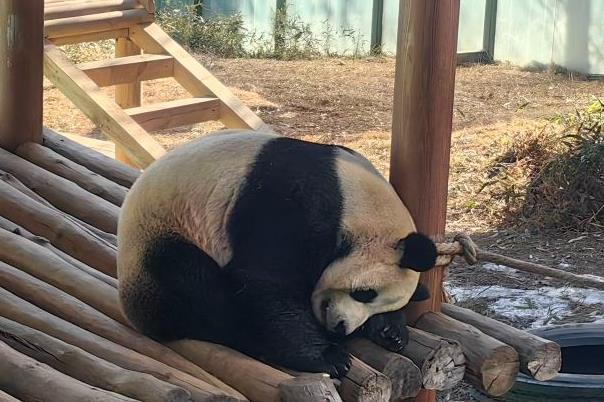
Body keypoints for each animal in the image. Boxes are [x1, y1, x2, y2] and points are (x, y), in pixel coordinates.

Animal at [118, 129, 436, 376]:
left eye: (375, 303)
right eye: (364, 293)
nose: (341, 327)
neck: (355, 199)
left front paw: (391, 331)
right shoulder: (293, 205)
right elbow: (265, 280)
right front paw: (329, 357)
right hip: (165, 235)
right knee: (197, 290)